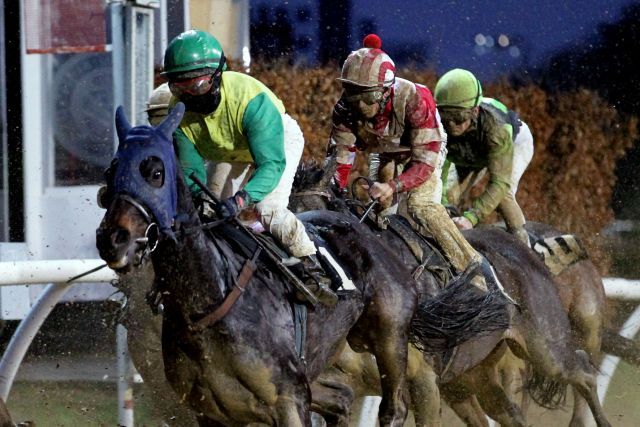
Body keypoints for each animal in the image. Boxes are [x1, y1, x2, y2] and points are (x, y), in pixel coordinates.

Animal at [95, 104, 508, 427]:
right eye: (110, 174)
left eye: (156, 172)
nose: (113, 238)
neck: (208, 303)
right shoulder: (208, 411)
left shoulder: (289, 399)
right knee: (342, 400)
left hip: (391, 336)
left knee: (393, 408)